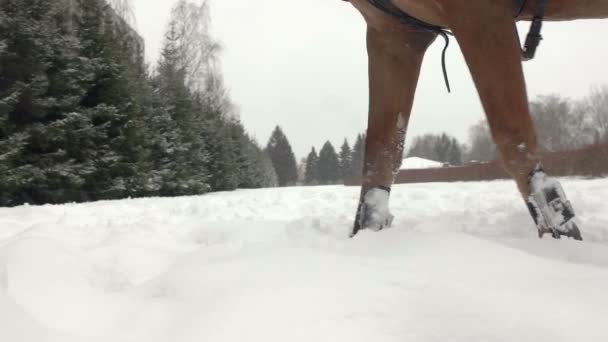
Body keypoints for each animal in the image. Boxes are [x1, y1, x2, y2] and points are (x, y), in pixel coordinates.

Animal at [346, 0, 608, 239]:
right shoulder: (394, 34)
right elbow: (381, 157)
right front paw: (368, 238)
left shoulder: (480, 14)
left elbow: (515, 141)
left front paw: (564, 241)